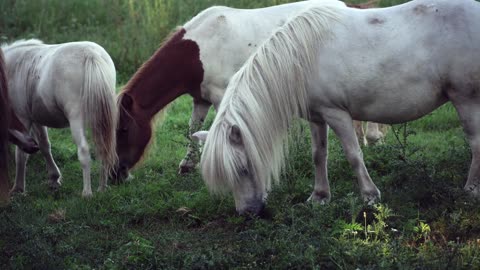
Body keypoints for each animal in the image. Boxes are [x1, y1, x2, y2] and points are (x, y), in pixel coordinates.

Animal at [2, 39, 117, 197]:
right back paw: (102, 188)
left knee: (84, 151)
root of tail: (90, 54)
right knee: (104, 148)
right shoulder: (36, 120)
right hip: (101, 119)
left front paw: (18, 188)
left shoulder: (23, 118)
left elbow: (21, 154)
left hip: (76, 119)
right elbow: (44, 145)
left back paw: (87, 193)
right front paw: (54, 178)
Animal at [193, 0, 480, 215]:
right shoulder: (317, 117)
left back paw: (471, 190)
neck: (301, 59)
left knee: (475, 143)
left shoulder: (337, 114)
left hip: (466, 99)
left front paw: (370, 196)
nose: (247, 213)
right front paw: (319, 197)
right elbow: (318, 155)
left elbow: (354, 154)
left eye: (243, 169)